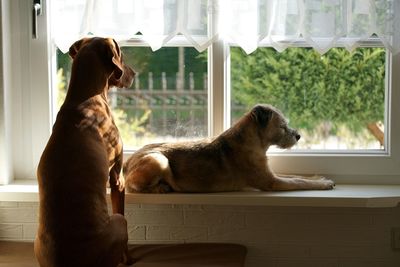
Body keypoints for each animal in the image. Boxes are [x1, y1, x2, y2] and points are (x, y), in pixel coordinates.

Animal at [34, 37, 134, 267]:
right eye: (122, 55)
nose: (134, 74)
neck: (84, 98)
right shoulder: (117, 177)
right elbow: (120, 205)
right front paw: (126, 257)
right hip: (119, 223)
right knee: (121, 218)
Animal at [122, 103, 334, 194]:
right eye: (283, 126)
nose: (298, 136)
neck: (253, 141)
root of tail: (127, 161)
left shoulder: (271, 175)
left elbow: (296, 176)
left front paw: (318, 177)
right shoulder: (271, 182)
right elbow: (298, 181)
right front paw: (322, 184)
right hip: (159, 160)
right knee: (133, 186)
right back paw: (160, 188)